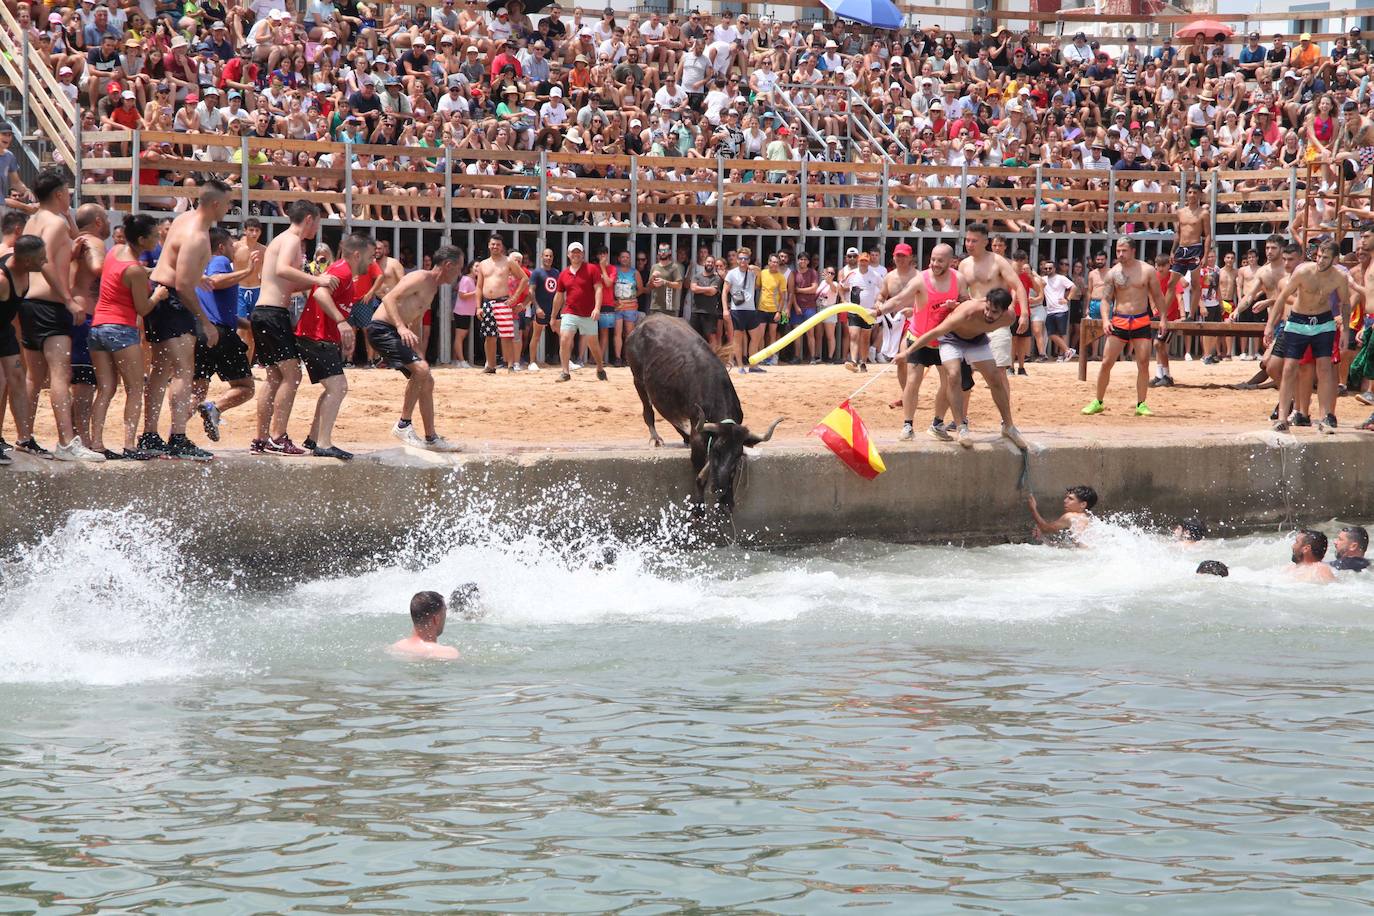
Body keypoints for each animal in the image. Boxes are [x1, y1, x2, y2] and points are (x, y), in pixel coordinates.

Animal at [626, 313, 785, 502]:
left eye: (737, 455)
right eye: (716, 451)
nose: (719, 487)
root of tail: (645, 321)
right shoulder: (699, 437)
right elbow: (700, 477)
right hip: (638, 380)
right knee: (648, 411)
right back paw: (656, 438)